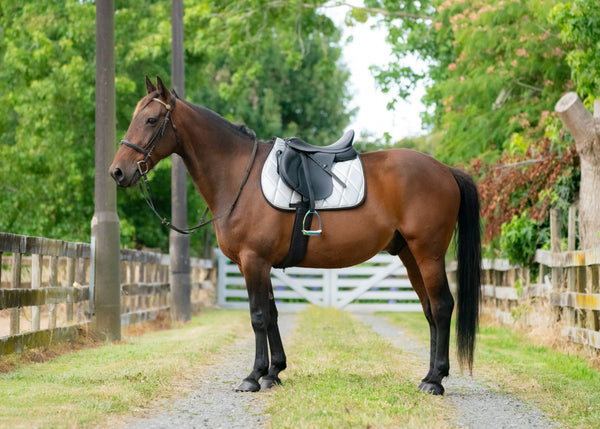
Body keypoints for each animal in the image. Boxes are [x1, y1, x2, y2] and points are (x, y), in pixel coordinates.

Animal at [110, 77, 480, 394]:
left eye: (151, 119)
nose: (117, 172)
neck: (238, 175)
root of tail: (446, 171)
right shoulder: (259, 264)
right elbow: (272, 314)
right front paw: (274, 372)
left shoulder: (253, 261)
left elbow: (258, 316)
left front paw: (253, 376)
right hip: (409, 255)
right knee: (430, 310)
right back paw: (429, 376)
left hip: (428, 254)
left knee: (442, 307)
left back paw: (435, 381)